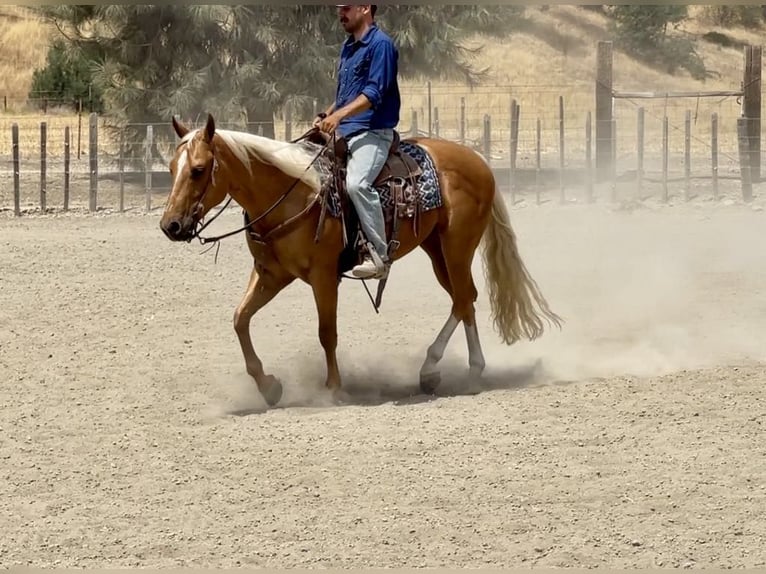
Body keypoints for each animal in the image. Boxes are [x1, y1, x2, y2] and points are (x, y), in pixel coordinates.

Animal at [159, 113, 562, 407]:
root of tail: (479, 162)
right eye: (171, 168)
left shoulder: (323, 276)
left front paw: (335, 389)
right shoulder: (271, 274)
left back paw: (462, 371)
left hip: (457, 246)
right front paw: (269, 386)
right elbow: (240, 319)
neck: (292, 192)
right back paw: (434, 371)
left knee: (464, 298)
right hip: (436, 249)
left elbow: (327, 333)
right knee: (465, 301)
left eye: (198, 169)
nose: (171, 225)